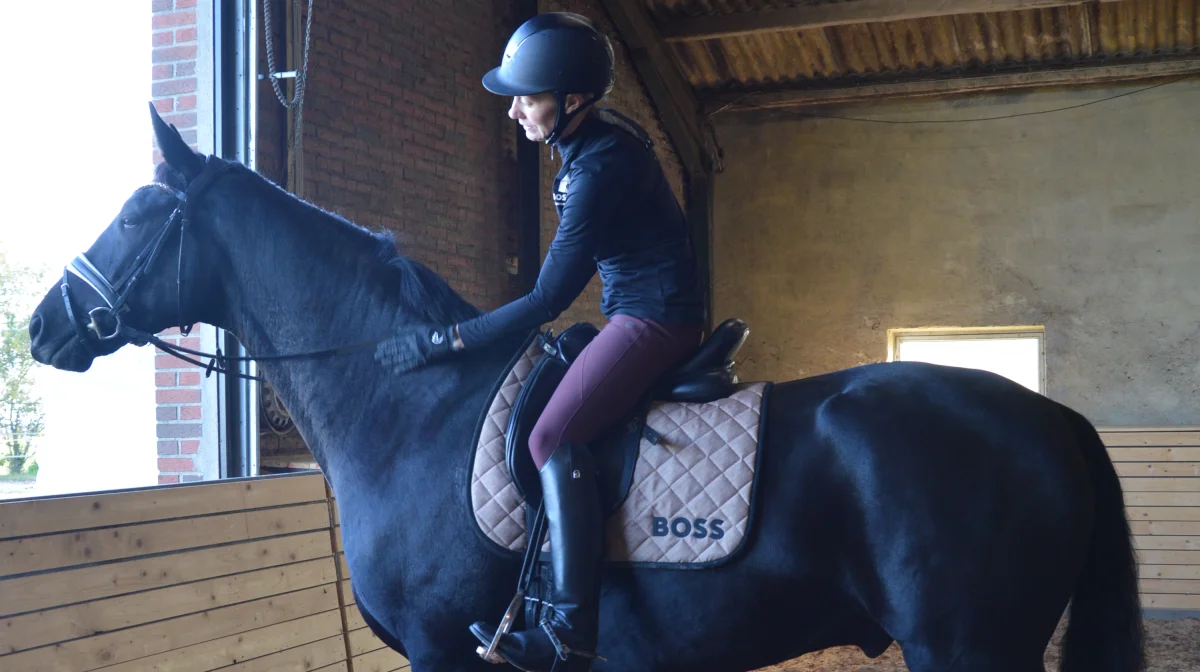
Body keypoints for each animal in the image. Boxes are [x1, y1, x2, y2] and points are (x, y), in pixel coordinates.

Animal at [25, 105, 1142, 672]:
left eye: (137, 214)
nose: (42, 325)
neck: (411, 412)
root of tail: (1054, 417)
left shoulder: (441, 651)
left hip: (969, 648)